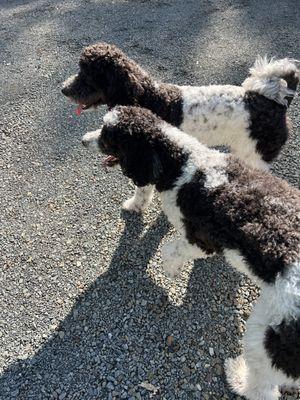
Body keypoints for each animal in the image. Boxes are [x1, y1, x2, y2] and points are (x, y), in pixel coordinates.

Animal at [82, 106, 300, 400]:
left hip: (267, 335)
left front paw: (170, 272)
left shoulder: (201, 239)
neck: (182, 165)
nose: (84, 140)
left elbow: (170, 251)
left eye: (108, 136)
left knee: (262, 387)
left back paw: (239, 378)